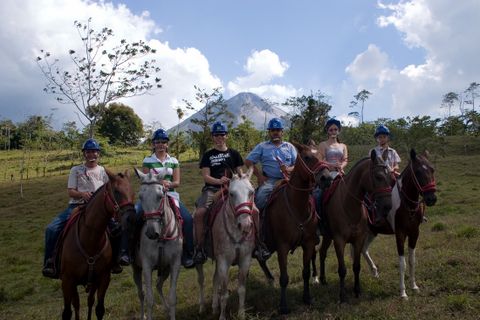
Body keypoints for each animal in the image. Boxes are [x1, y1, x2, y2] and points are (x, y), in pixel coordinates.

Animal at [60, 171, 135, 320]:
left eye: (132, 191)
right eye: (116, 191)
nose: (132, 218)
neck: (90, 239)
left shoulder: (103, 278)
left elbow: (99, 308)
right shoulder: (67, 281)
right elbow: (67, 312)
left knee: (88, 301)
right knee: (76, 304)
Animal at [132, 169, 183, 318]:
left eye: (160, 196)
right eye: (140, 196)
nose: (151, 233)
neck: (161, 238)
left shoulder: (174, 264)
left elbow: (172, 298)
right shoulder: (147, 266)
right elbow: (149, 299)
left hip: (165, 270)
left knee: (158, 285)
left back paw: (166, 309)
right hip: (136, 269)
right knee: (141, 294)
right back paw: (142, 316)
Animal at [256, 144, 332, 314]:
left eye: (323, 155)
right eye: (307, 157)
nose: (327, 178)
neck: (297, 205)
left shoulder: (308, 244)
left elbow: (305, 273)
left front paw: (307, 298)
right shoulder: (282, 246)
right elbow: (284, 278)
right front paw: (283, 306)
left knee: (261, 260)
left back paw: (270, 280)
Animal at [318, 150, 394, 302]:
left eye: (390, 175)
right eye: (378, 176)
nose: (388, 206)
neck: (348, 205)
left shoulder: (358, 240)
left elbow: (356, 266)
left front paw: (357, 291)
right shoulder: (339, 241)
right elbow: (342, 270)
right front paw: (342, 296)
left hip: (328, 236)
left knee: (322, 253)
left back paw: (323, 279)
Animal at [362, 149, 436, 298]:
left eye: (432, 169)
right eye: (418, 172)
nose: (431, 198)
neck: (406, 203)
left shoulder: (414, 233)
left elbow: (412, 261)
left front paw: (414, 286)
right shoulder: (400, 234)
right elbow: (402, 263)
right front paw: (403, 292)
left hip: (372, 232)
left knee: (364, 249)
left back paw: (374, 271)